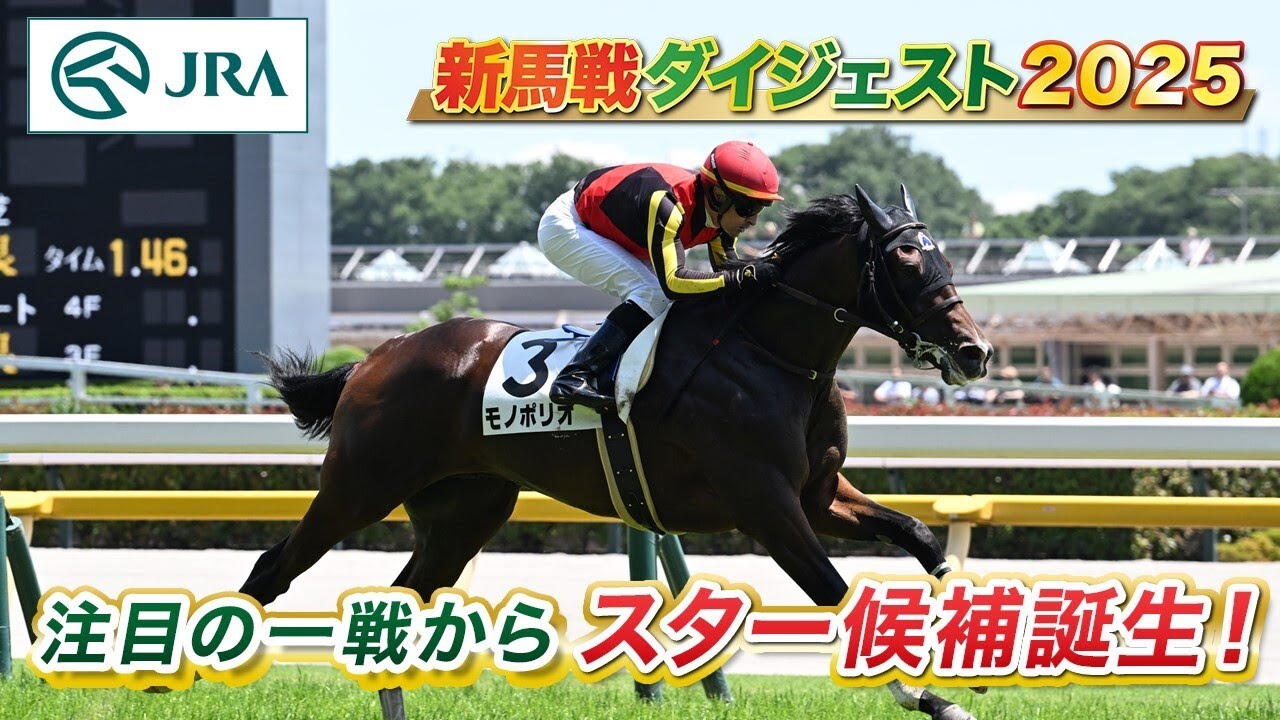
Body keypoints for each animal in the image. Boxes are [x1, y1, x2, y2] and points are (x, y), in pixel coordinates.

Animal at [244, 185, 992, 719]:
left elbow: (920, 534)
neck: (768, 354)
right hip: (359, 487)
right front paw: (928, 696)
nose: (974, 351)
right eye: (904, 259)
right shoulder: (768, 507)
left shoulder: (819, 496)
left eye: (946, 258)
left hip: (464, 511)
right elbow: (835, 594)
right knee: (273, 568)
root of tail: (378, 355)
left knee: (400, 600)